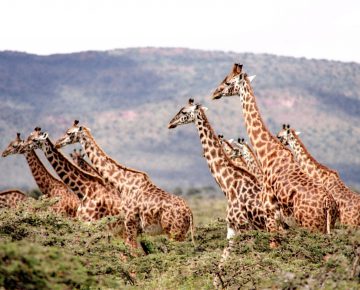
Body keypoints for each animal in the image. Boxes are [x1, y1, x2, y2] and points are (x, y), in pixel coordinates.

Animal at [54, 120, 194, 247]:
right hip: (180, 233)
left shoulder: (129, 222)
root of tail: (190, 213)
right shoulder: (134, 228)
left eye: (69, 133)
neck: (122, 183)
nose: (57, 143)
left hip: (174, 232)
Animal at [167, 99, 286, 288]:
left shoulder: (245, 227)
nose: (171, 123)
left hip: (274, 228)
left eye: (184, 112)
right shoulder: (232, 228)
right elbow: (219, 267)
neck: (228, 185)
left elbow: (254, 261)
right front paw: (219, 283)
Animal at [211, 63, 338, 233]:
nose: (215, 93)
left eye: (228, 82)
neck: (267, 152)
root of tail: (329, 205)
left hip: (310, 225)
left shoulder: (270, 213)